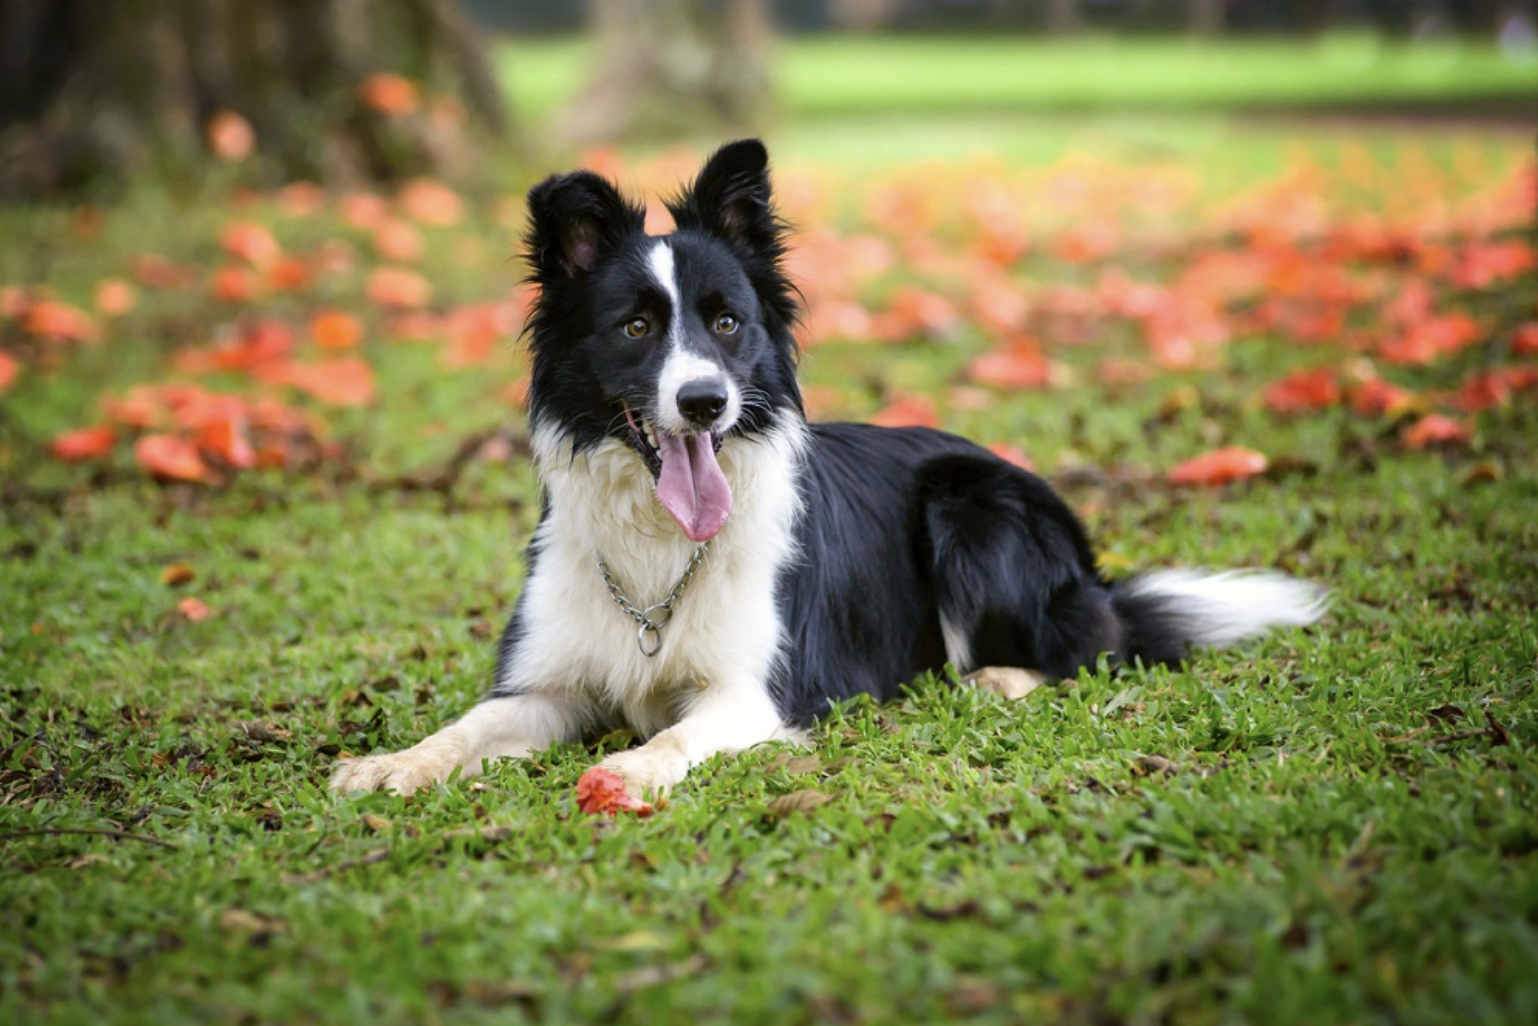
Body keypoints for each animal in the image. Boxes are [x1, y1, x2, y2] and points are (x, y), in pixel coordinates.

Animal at [330, 140, 1328, 806]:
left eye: (727, 323)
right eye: (636, 327)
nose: (704, 404)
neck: (658, 549)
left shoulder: (756, 690)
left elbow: (679, 733)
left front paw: (630, 768)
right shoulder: (544, 685)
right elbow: (465, 726)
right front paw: (390, 765)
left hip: (973, 508)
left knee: (1087, 648)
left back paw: (994, 679)